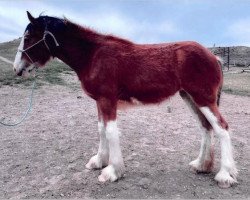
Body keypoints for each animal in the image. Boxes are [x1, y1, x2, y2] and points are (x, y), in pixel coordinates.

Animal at [14, 11, 238, 188]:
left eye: (28, 37)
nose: (17, 69)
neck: (93, 55)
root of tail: (214, 56)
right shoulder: (100, 102)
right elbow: (101, 129)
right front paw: (99, 161)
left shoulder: (107, 100)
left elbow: (111, 132)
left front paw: (112, 171)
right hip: (191, 98)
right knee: (206, 127)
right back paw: (201, 165)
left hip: (203, 99)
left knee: (222, 128)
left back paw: (225, 175)